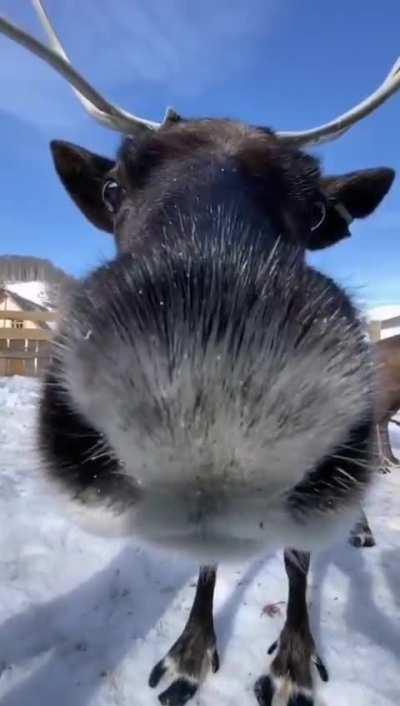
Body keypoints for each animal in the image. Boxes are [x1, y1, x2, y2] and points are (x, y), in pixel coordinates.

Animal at [1, 3, 399, 705]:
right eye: (114, 186)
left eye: (317, 208)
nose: (208, 378)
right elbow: (205, 563)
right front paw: (189, 651)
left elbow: (298, 558)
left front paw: (293, 661)